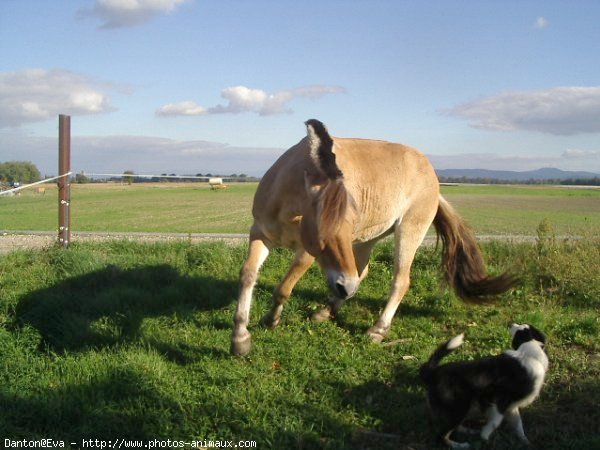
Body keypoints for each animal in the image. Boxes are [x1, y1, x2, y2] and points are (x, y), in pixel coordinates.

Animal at [231, 119, 516, 356]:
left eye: (349, 223)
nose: (344, 287)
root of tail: (432, 175)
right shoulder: (260, 234)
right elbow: (248, 275)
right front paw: (240, 337)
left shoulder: (306, 251)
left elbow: (283, 288)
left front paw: (270, 320)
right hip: (368, 240)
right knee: (361, 273)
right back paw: (327, 310)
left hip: (408, 232)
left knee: (399, 281)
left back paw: (377, 330)